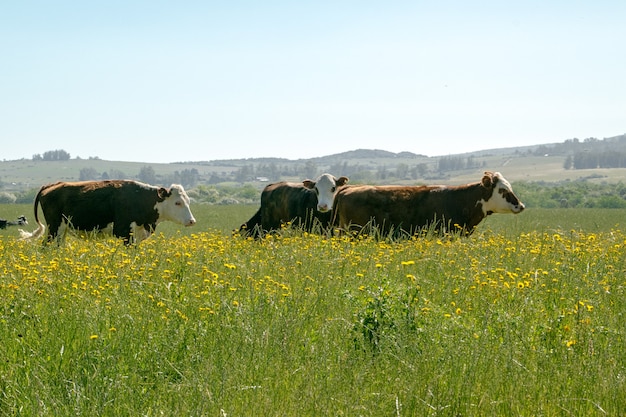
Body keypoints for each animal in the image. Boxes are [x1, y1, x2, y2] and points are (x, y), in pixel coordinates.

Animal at [19, 179, 195, 244]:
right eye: (177, 202)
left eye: (188, 201)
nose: (192, 221)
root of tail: (52, 185)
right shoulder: (124, 232)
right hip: (54, 228)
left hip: (62, 230)